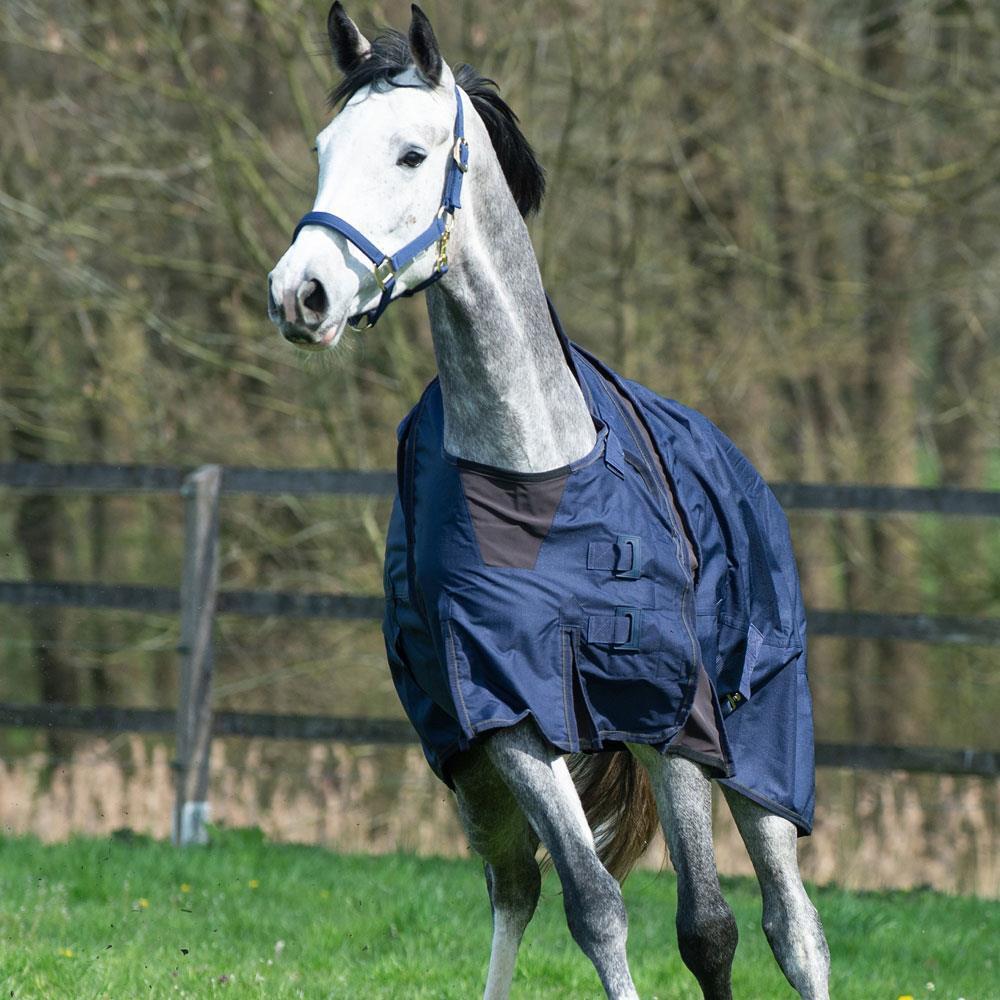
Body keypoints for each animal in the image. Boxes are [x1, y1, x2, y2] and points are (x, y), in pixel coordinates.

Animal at [264, 3, 828, 996]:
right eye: (325, 147)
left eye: (411, 153)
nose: (302, 293)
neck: (540, 475)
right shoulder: (507, 717)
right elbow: (594, 904)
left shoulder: (670, 716)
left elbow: (707, 927)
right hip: (476, 779)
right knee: (515, 889)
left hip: (758, 746)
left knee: (790, 925)